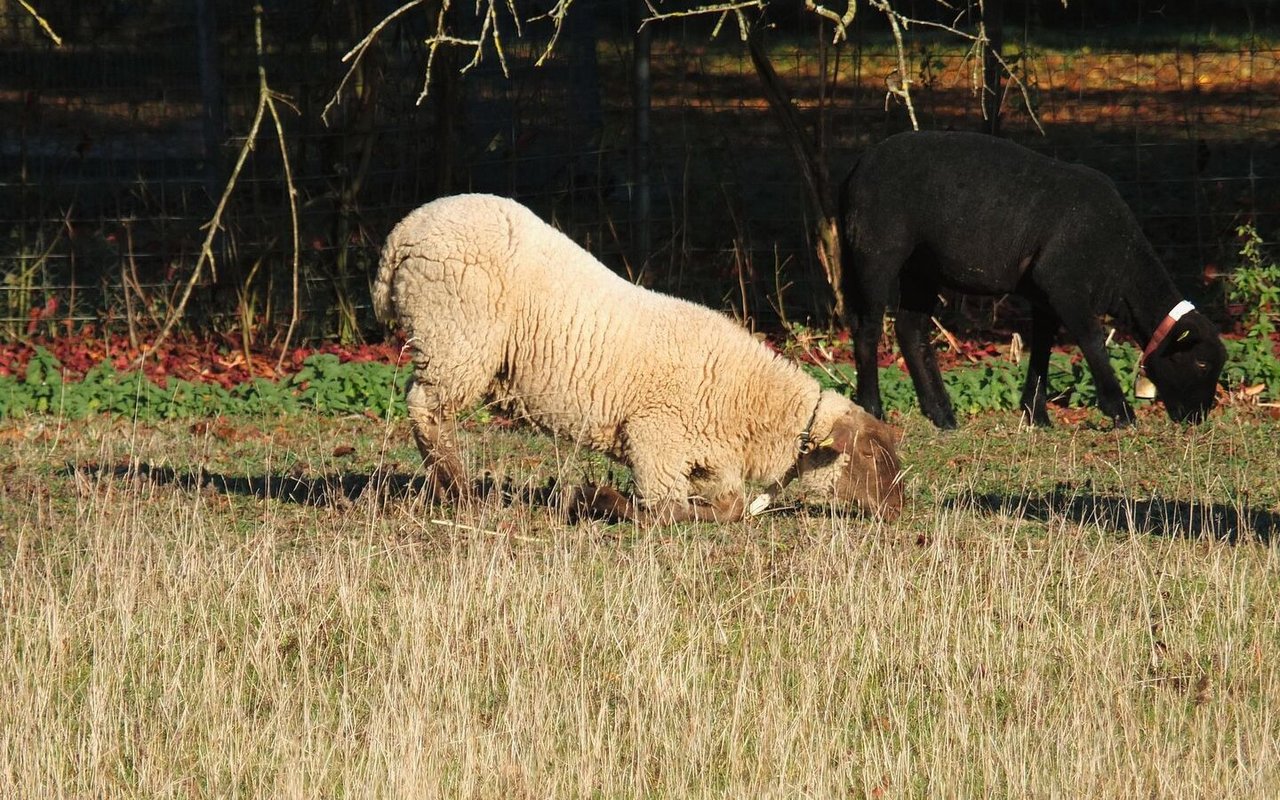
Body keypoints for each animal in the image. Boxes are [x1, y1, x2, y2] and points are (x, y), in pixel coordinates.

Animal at [373, 193, 906, 524]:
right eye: (868, 455)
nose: (900, 507)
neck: (751, 400)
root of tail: (402, 233)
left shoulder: (710, 459)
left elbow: (731, 508)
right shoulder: (655, 440)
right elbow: (663, 510)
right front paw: (601, 499)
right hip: (455, 339)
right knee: (427, 411)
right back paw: (460, 493)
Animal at [834, 129, 1223, 430]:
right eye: (1201, 362)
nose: (1198, 418)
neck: (1122, 265)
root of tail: (857, 166)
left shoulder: (1044, 294)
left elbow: (1043, 346)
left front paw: (1037, 414)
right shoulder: (1064, 285)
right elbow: (1092, 340)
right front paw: (1121, 413)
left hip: (922, 265)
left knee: (910, 329)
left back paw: (942, 415)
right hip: (876, 250)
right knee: (868, 326)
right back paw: (872, 409)